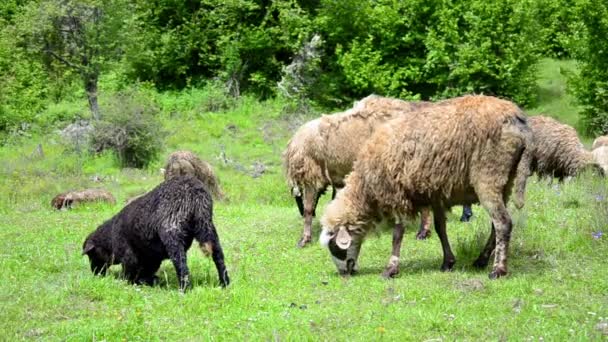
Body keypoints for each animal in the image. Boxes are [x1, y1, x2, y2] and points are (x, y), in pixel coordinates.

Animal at [82, 175, 229, 290]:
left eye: (91, 254)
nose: (95, 274)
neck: (110, 239)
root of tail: (195, 192)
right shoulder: (151, 257)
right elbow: (146, 271)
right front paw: (149, 281)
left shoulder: (129, 255)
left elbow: (129, 272)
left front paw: (128, 282)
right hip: (207, 226)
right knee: (219, 256)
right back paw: (224, 283)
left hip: (172, 232)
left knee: (181, 263)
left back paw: (184, 288)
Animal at [318, 95, 532, 280]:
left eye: (334, 246)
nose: (344, 273)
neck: (365, 189)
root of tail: (516, 118)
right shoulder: (435, 194)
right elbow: (440, 228)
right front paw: (448, 262)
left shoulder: (397, 194)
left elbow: (397, 234)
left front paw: (391, 269)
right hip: (505, 182)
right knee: (496, 224)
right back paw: (481, 260)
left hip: (488, 176)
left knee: (503, 223)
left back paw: (498, 270)